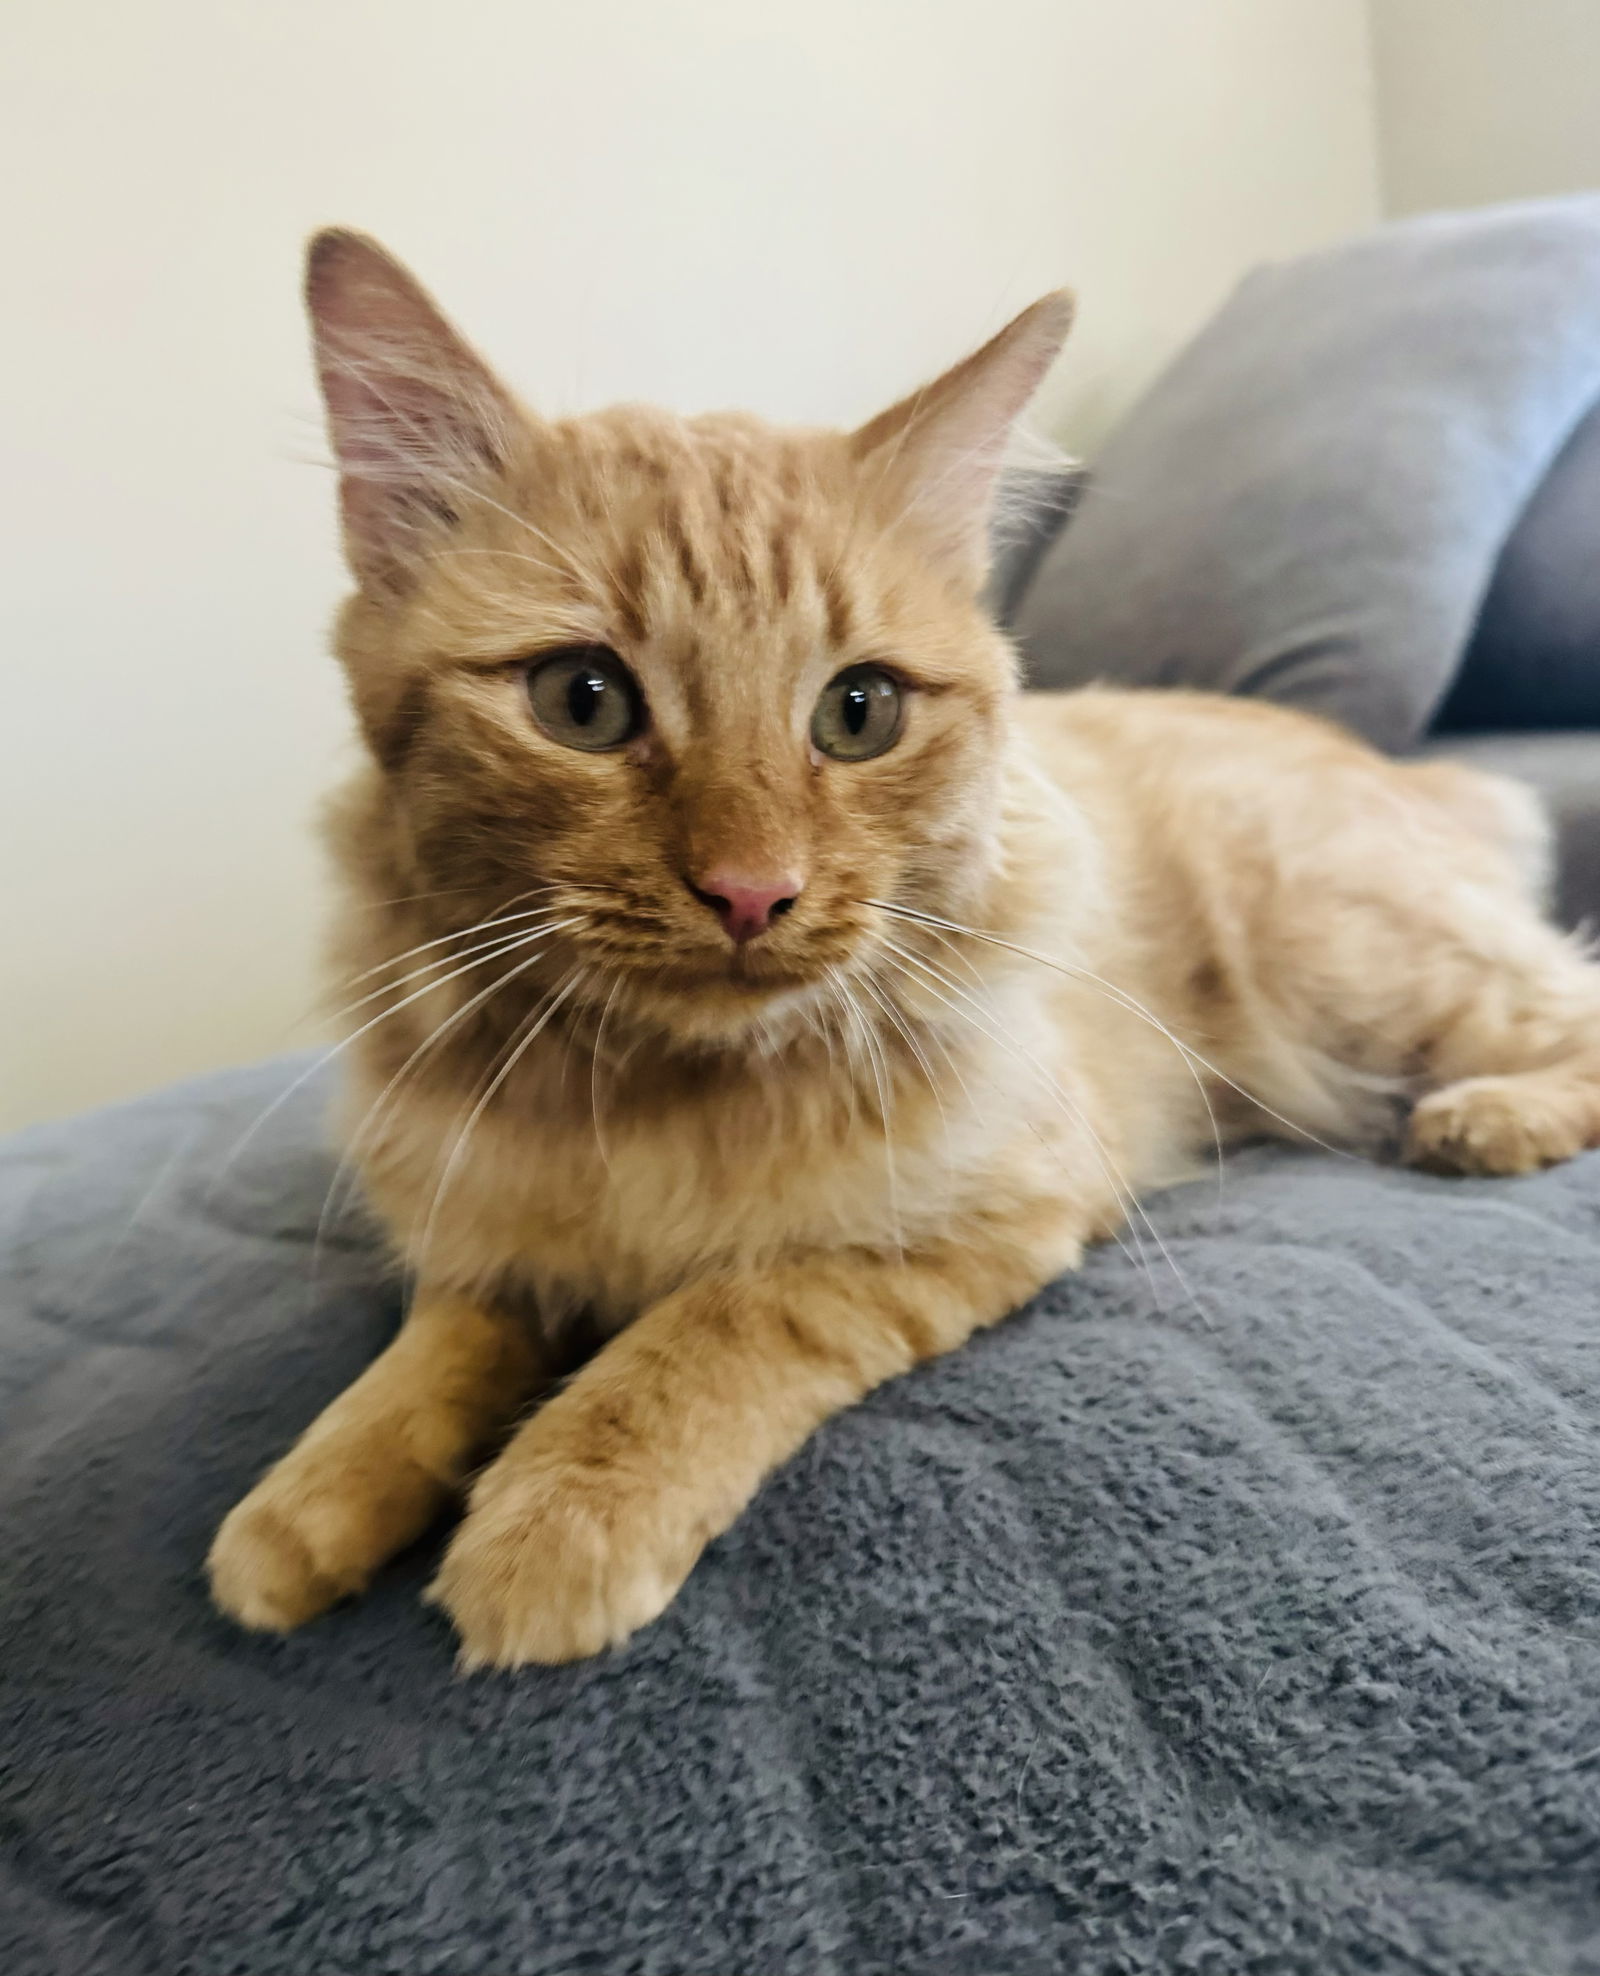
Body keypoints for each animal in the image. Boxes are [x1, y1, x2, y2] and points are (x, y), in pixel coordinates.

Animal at [205, 227, 1596, 1667]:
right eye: (580, 701)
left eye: (857, 712)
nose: (751, 893)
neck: (657, 1097)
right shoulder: (482, 1231)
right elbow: (435, 1350)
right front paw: (312, 1495)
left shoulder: (990, 1213)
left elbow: (714, 1320)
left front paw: (561, 1511)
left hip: (1351, 970)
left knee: (1572, 1005)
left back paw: (1487, 1119)